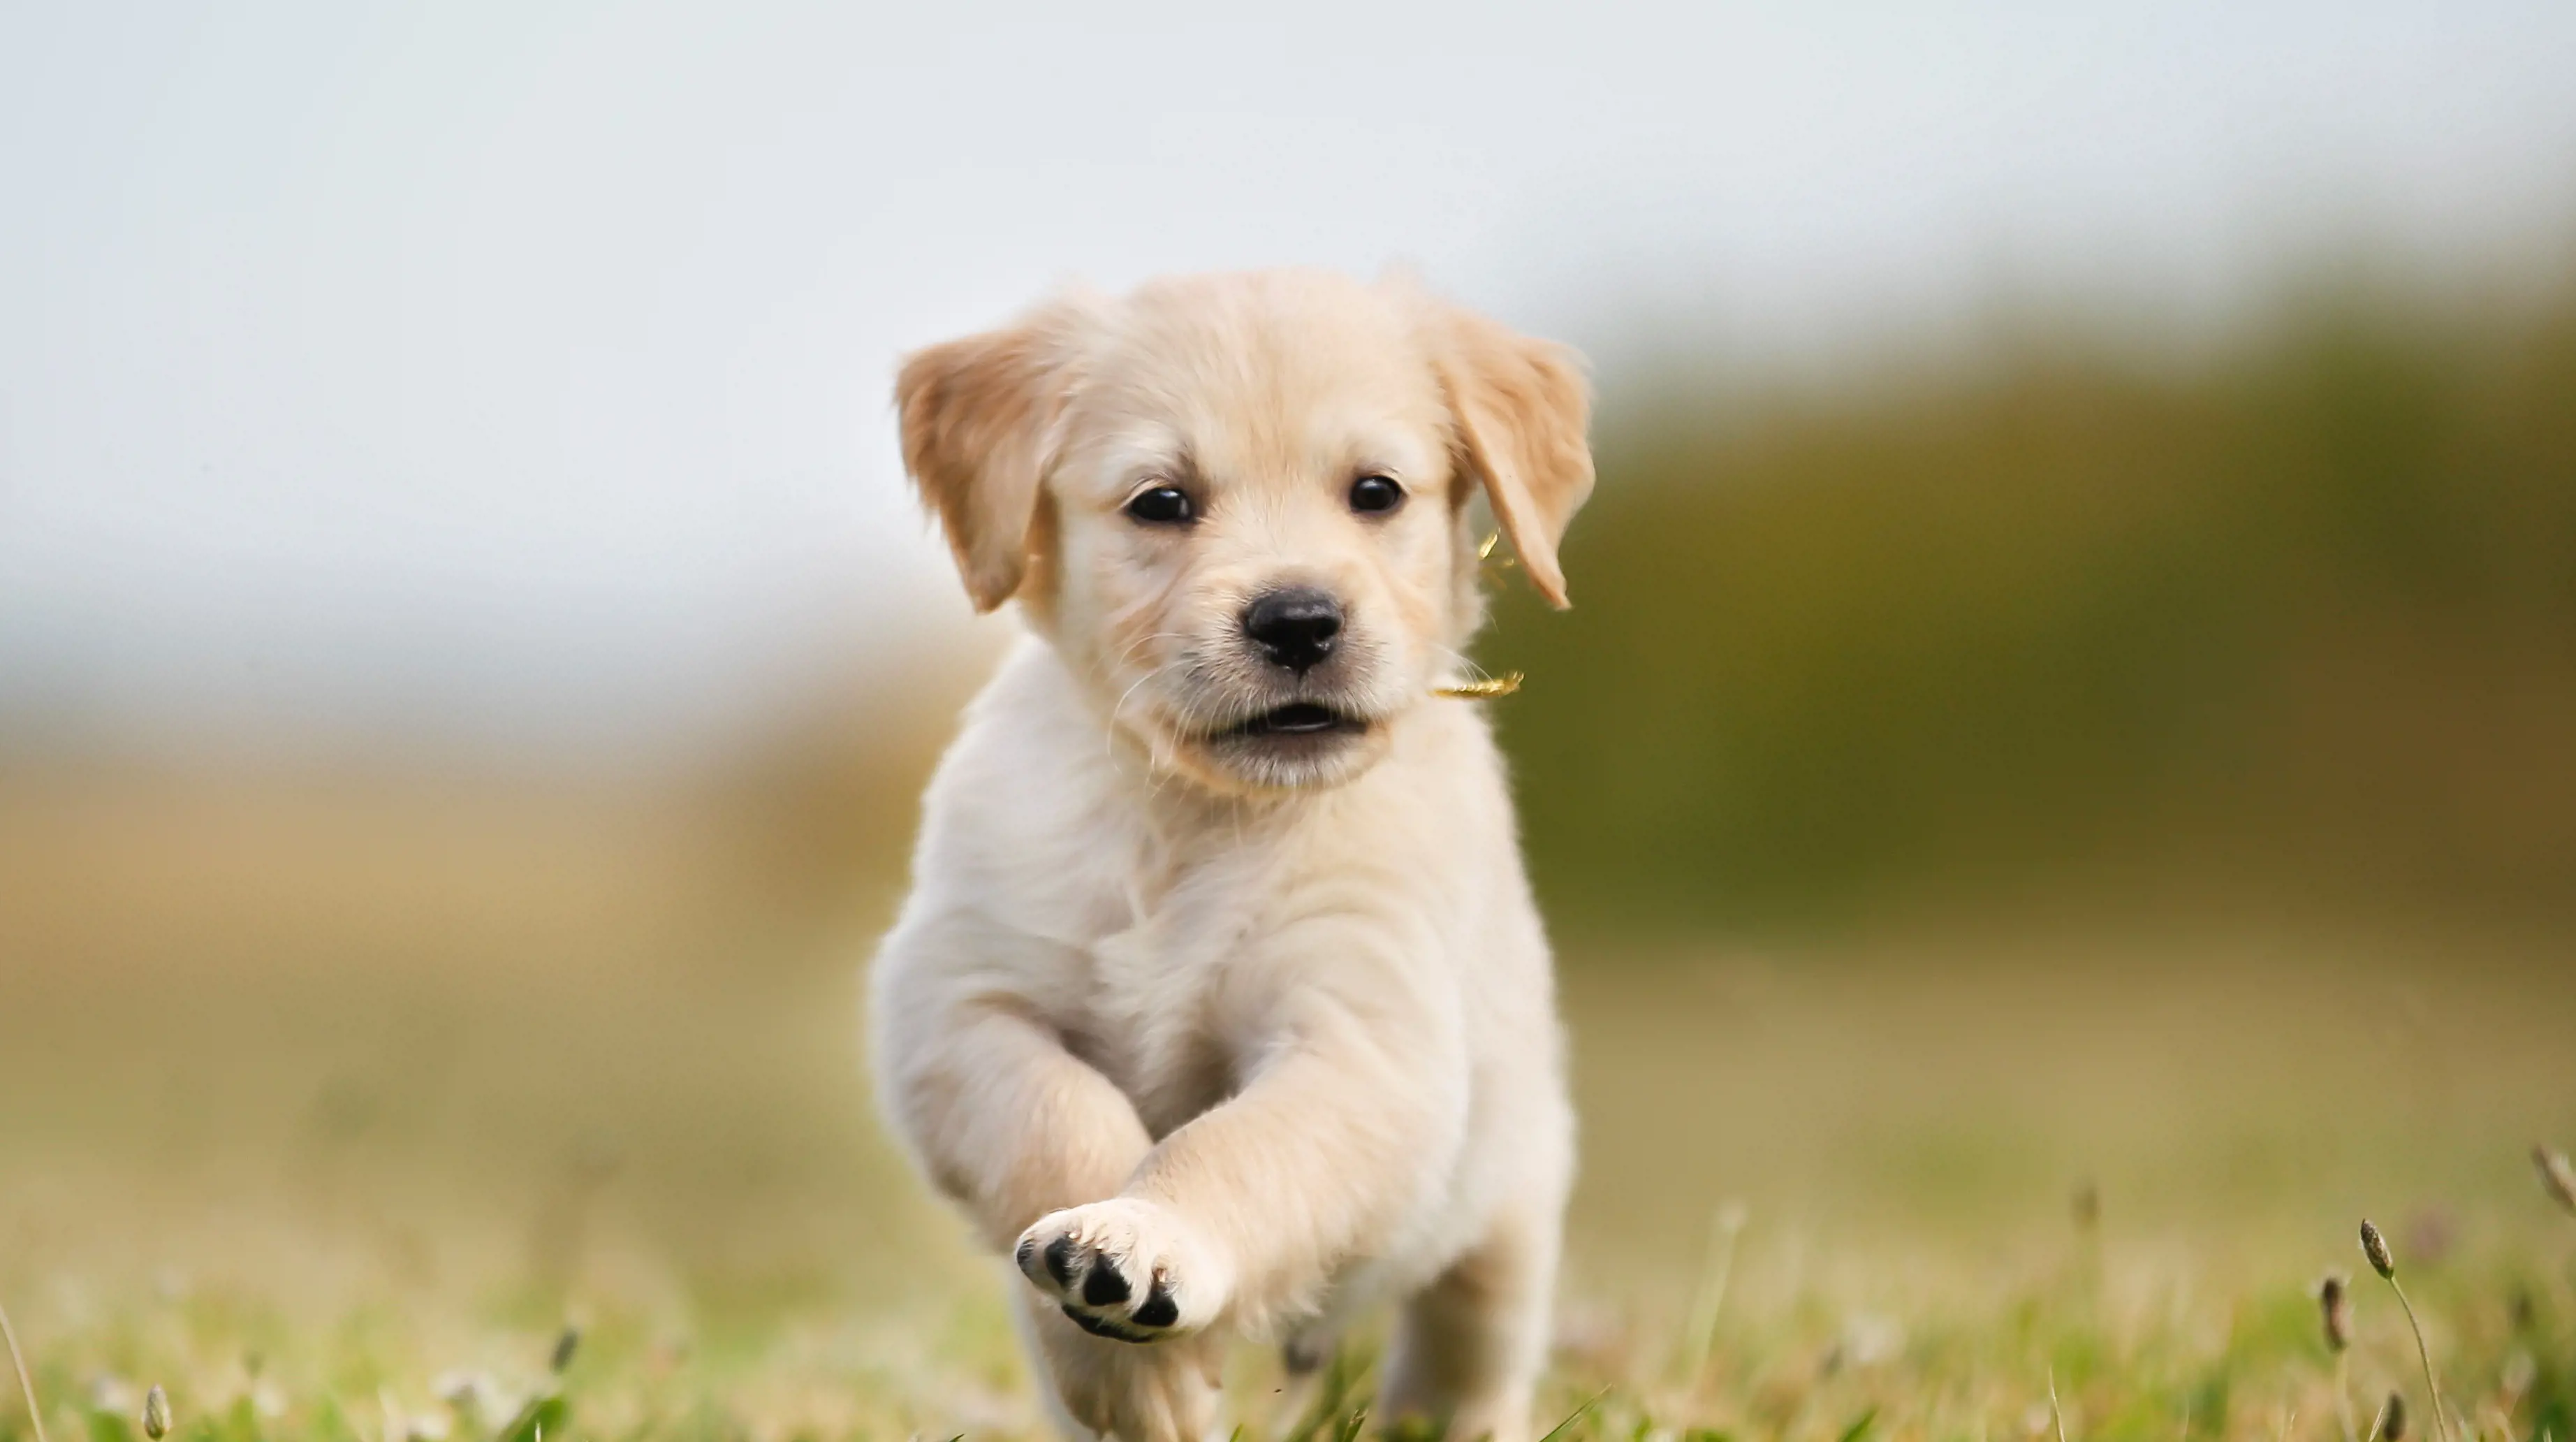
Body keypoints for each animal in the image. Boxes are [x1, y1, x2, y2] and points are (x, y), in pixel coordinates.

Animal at [875, 270, 1576, 1442]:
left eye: (1376, 492)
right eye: (1162, 502)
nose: (1298, 621)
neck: (1196, 818)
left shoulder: (1362, 1044)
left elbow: (1237, 1149)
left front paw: (1146, 1241)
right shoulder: (956, 1003)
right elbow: (1061, 1119)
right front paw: (1126, 1358)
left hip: (1509, 1206)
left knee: (1467, 1357)